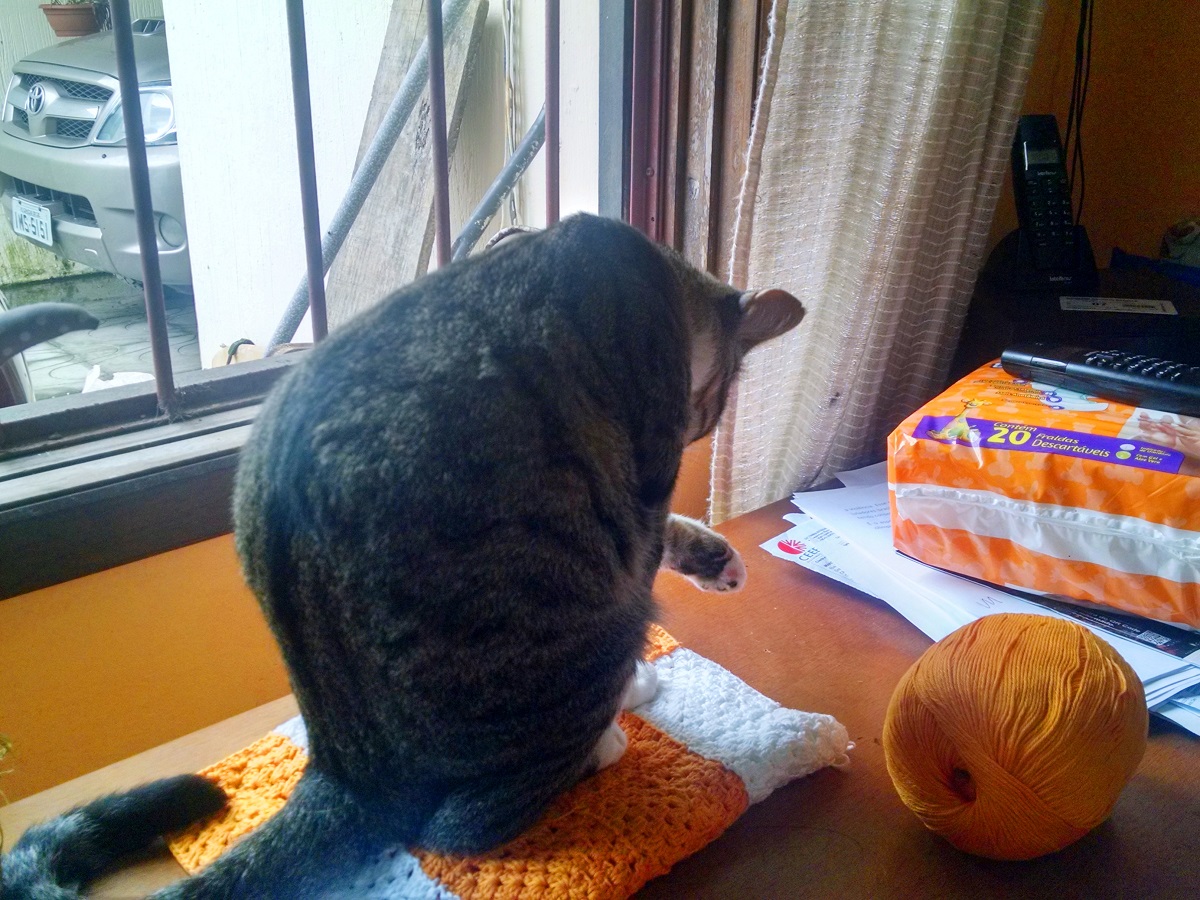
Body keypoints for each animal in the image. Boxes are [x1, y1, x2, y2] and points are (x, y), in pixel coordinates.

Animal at [1, 213, 803, 898]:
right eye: (715, 401)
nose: (703, 422)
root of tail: (348, 772)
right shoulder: (635, 497)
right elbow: (647, 547)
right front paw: (645, 674)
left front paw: (714, 557)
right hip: (585, 633)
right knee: (466, 823)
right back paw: (601, 743)